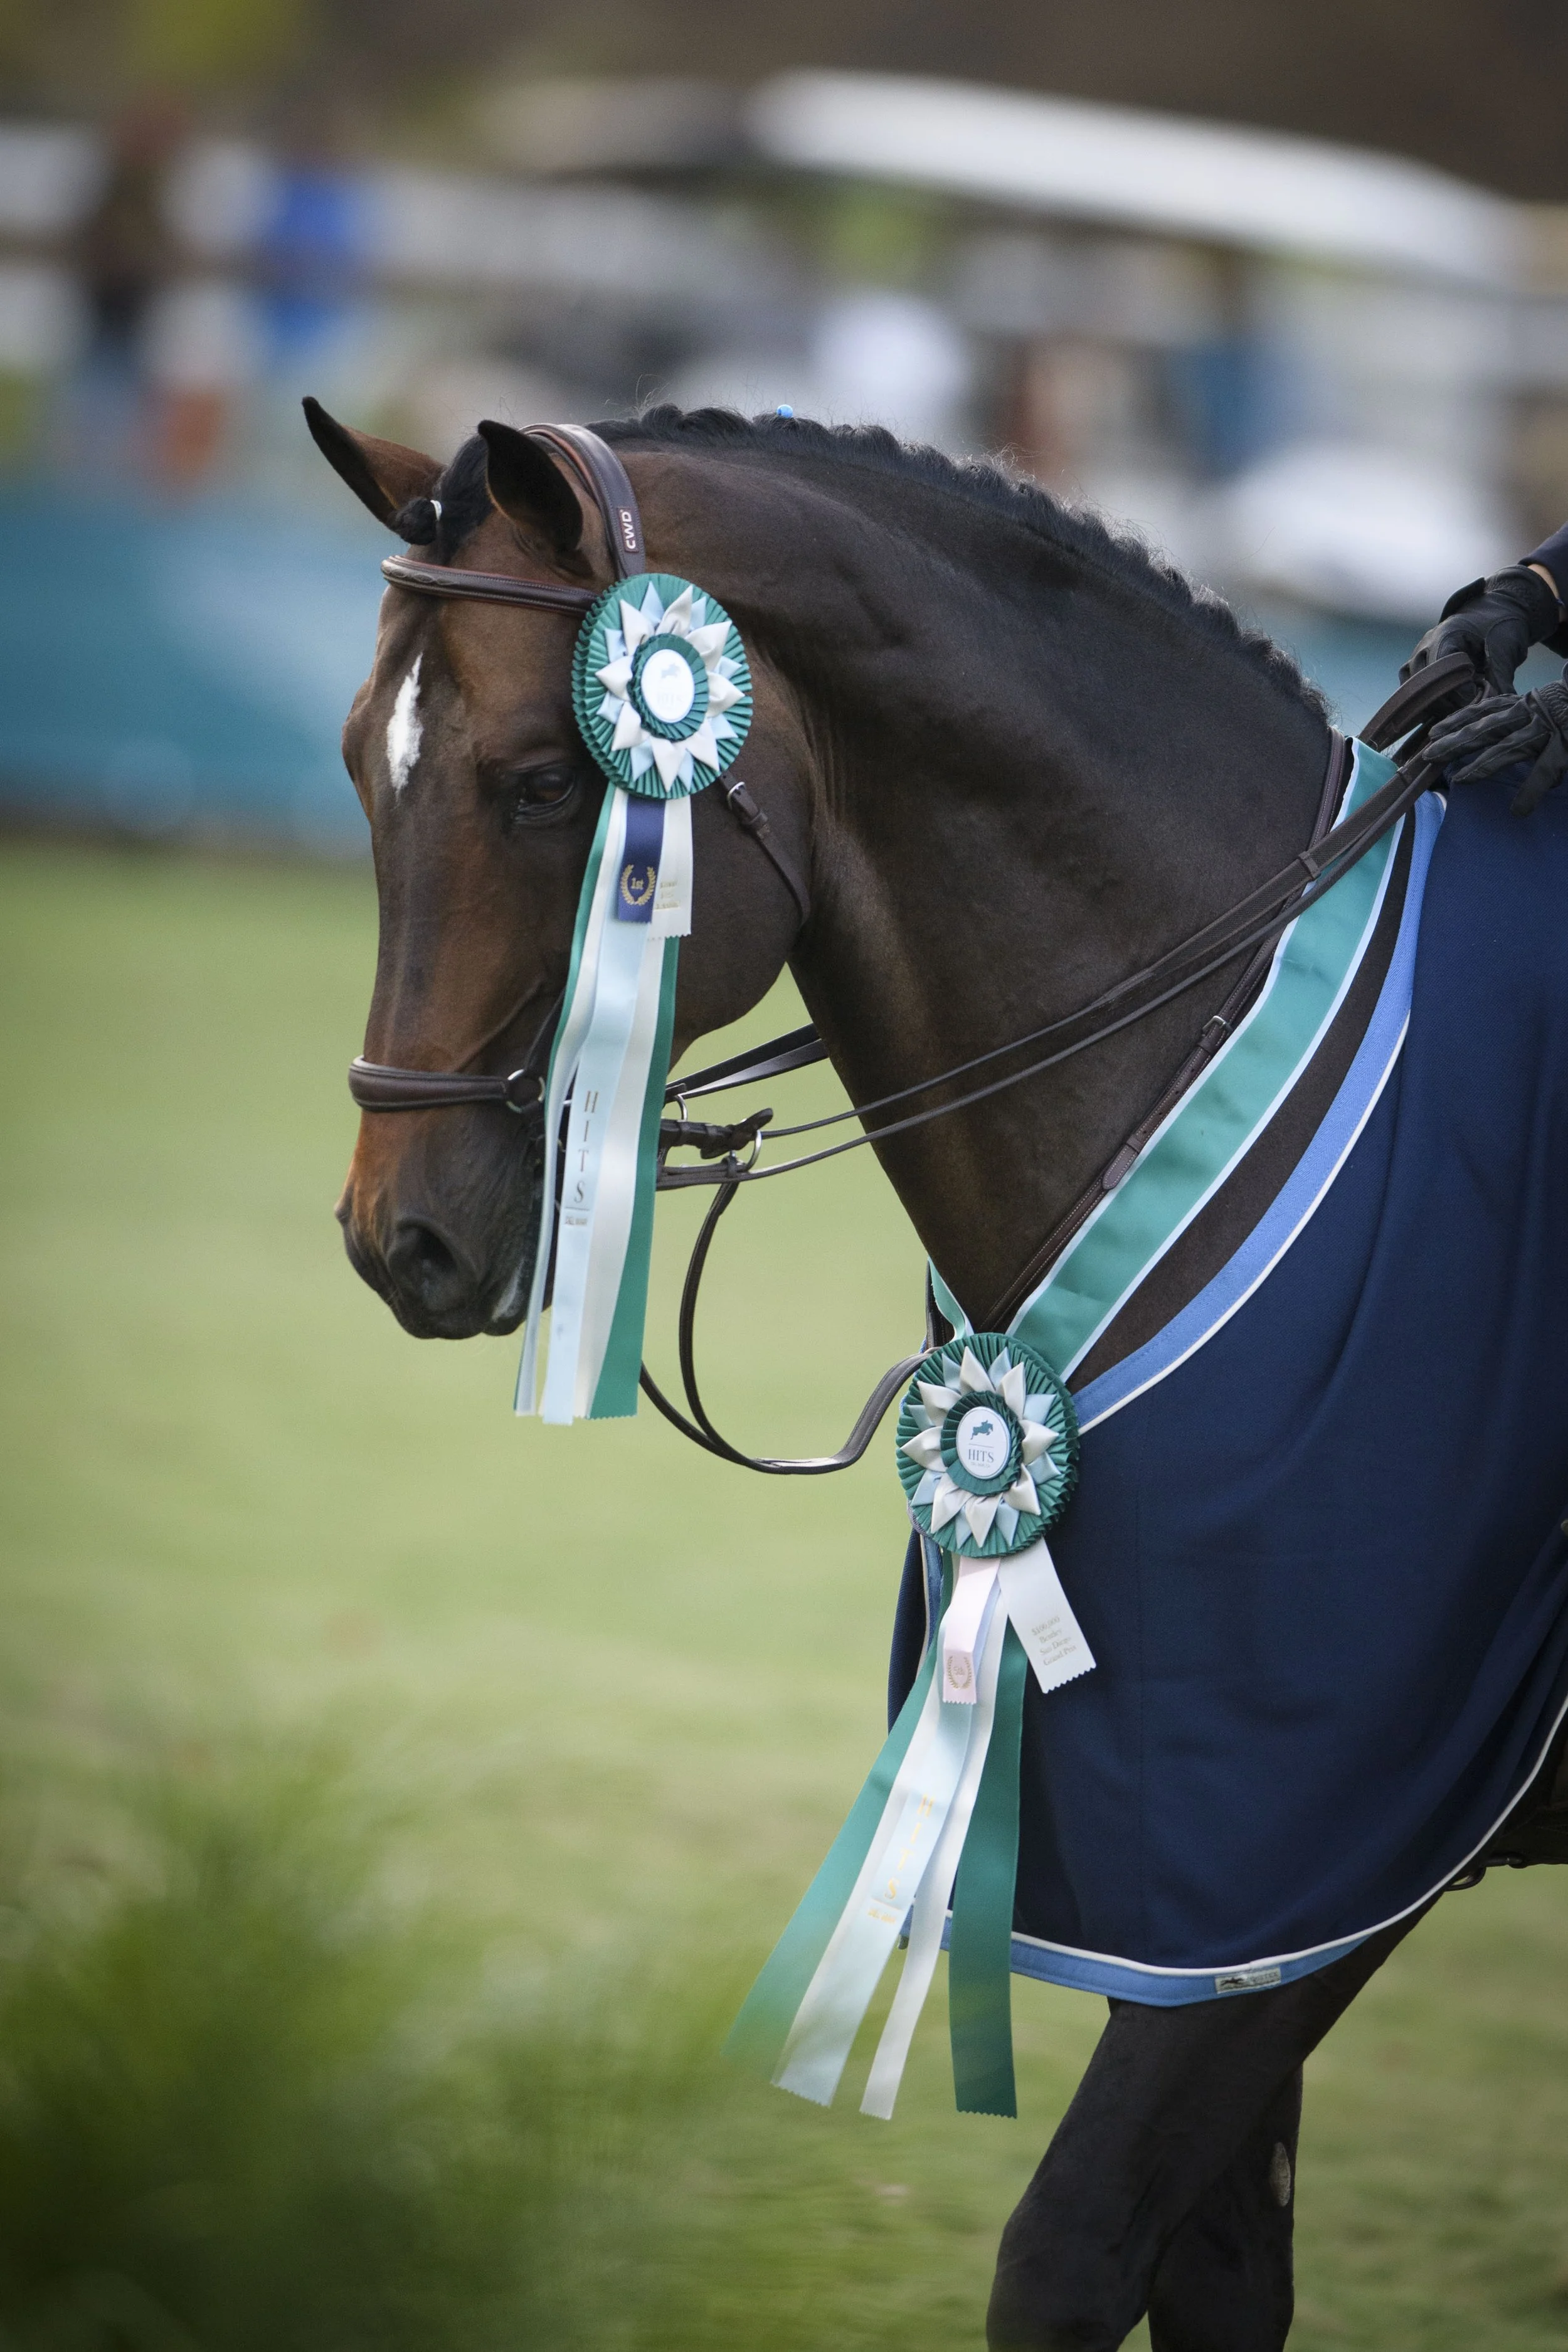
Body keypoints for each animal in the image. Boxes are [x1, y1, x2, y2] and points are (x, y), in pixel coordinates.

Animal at [313, 397, 1568, 2352]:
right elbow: (1215, 2272)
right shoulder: (1213, 1891)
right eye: (366, 765)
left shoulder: (1337, 1826)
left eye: (540, 781)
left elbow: (1066, 2248)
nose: (403, 1238)